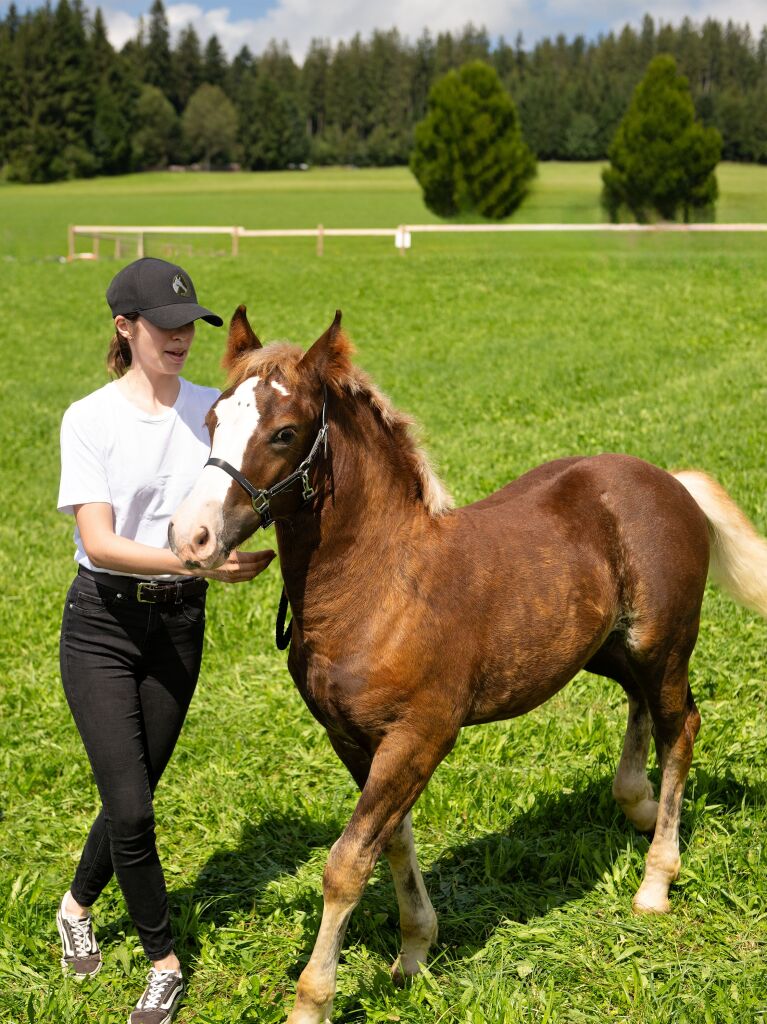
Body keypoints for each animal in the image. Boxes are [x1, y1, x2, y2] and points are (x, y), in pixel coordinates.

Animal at [171, 309, 765, 1024]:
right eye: (211, 421)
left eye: (285, 433)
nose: (191, 536)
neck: (379, 584)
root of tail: (670, 481)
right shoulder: (352, 739)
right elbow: (392, 840)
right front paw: (413, 954)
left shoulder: (420, 735)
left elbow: (347, 861)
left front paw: (312, 1001)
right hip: (602, 649)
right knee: (643, 703)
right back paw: (638, 803)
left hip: (663, 643)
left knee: (683, 726)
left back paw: (655, 879)